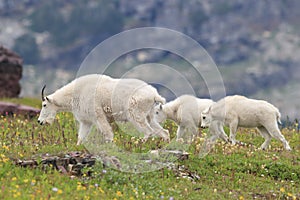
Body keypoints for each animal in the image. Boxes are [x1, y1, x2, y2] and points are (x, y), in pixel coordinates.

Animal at [37, 74, 169, 145]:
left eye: (44, 105)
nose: (39, 121)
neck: (75, 94)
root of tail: (154, 95)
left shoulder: (98, 115)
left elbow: (107, 133)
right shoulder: (86, 121)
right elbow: (81, 137)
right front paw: (77, 146)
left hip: (136, 113)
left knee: (148, 131)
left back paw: (138, 144)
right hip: (150, 114)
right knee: (163, 131)